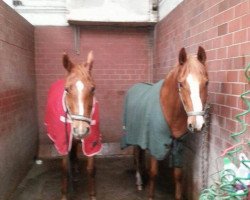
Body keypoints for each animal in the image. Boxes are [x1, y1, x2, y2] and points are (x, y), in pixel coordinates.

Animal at [44, 52, 101, 200]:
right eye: (67, 89)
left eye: (93, 88)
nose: (81, 130)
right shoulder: (63, 141)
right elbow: (64, 169)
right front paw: (64, 194)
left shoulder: (91, 141)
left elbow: (91, 170)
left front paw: (93, 195)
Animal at [122, 46, 208, 199]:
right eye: (181, 83)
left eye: (206, 83)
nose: (197, 124)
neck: (170, 111)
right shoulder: (154, 143)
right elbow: (153, 173)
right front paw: (150, 195)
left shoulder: (178, 145)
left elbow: (178, 175)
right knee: (137, 154)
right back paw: (139, 181)